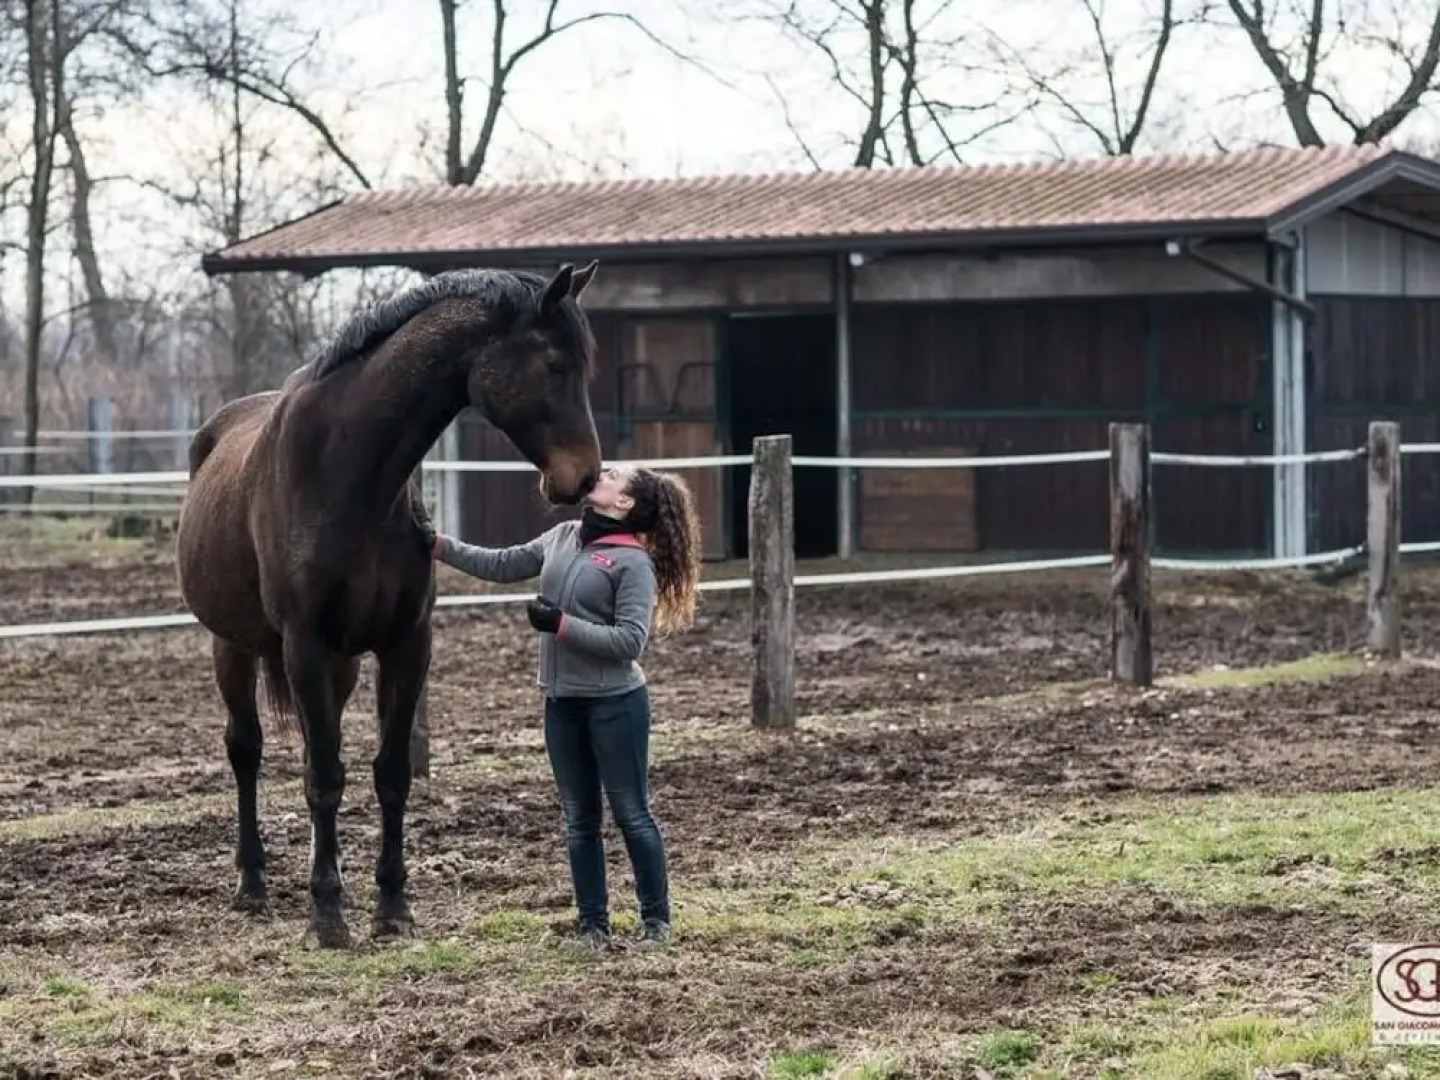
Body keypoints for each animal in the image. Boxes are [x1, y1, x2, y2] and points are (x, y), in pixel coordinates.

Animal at [174, 261, 603, 949]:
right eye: (555, 363)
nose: (584, 478)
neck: (351, 474)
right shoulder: (305, 644)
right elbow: (324, 778)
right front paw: (327, 915)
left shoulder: (405, 643)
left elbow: (389, 773)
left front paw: (390, 904)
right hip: (234, 647)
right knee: (246, 751)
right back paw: (253, 884)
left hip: (341, 665)